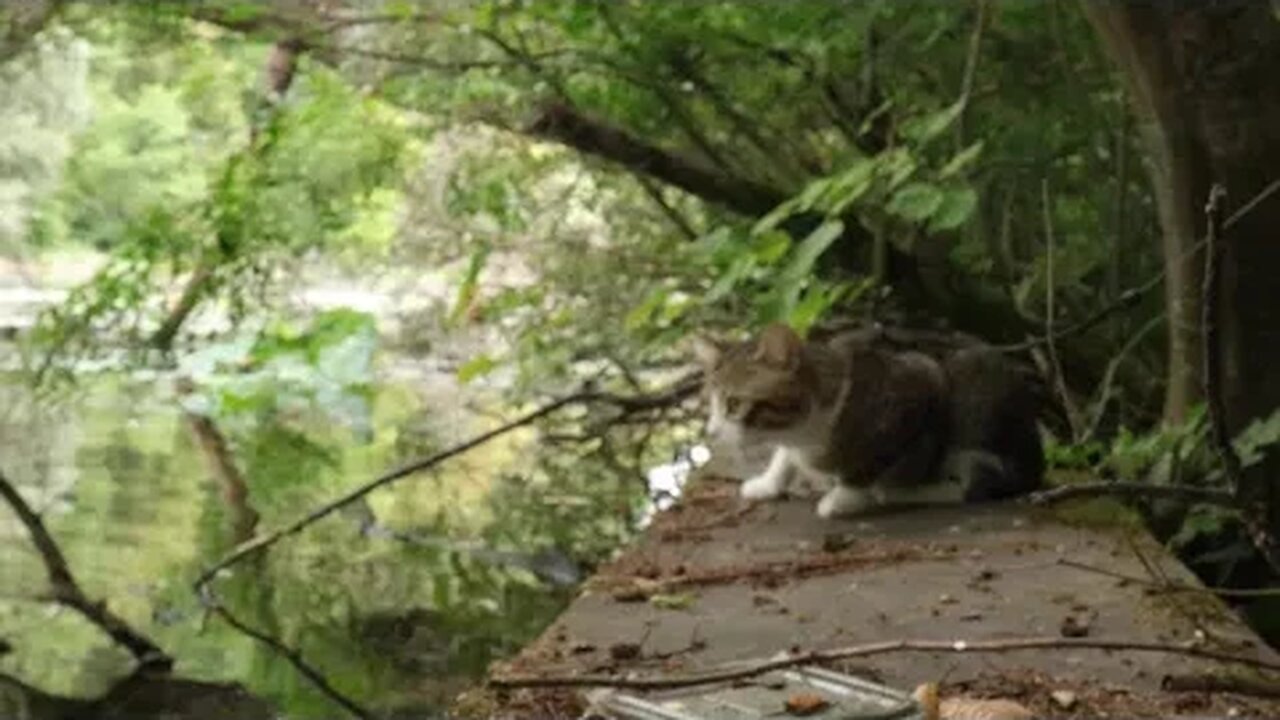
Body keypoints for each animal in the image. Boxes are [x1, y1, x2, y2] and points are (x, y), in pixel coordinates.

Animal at [696, 320, 1044, 515]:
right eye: (711, 403)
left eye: (734, 403)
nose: (712, 431)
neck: (804, 430)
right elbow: (785, 455)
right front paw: (770, 481)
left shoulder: (921, 382)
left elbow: (870, 461)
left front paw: (844, 499)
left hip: (974, 410)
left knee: (972, 485)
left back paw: (902, 492)